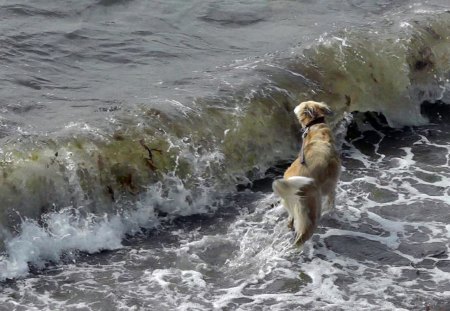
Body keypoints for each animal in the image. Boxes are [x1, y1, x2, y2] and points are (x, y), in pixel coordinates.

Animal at [270, 101, 342, 247]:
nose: (293, 106)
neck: (316, 128)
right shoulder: (332, 186)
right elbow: (332, 204)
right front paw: (333, 213)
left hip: (294, 206)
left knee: (291, 221)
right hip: (313, 206)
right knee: (304, 234)